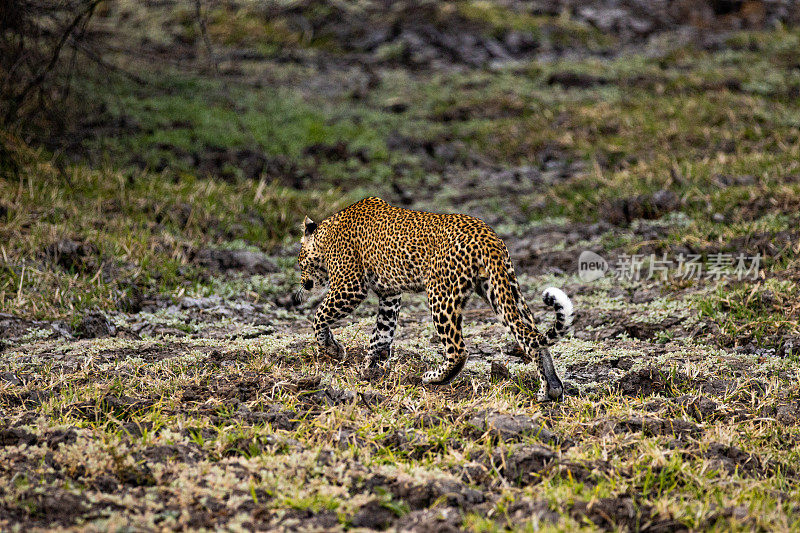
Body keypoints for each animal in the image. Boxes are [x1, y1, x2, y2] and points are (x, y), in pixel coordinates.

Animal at [296, 195, 572, 400]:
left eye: (299, 263)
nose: (303, 284)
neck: (326, 235)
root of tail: (488, 237)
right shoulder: (390, 295)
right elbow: (381, 335)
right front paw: (370, 370)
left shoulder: (349, 286)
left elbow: (319, 316)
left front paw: (332, 349)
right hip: (502, 289)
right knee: (534, 338)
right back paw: (550, 390)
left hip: (441, 294)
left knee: (458, 350)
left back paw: (433, 378)